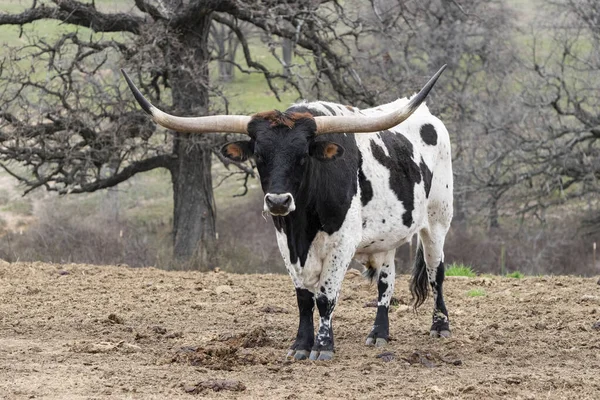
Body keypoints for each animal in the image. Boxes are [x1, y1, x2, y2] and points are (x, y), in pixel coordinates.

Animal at [122, 65, 452, 360]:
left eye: (303, 156)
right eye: (258, 155)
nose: (278, 201)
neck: (302, 225)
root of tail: (430, 118)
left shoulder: (342, 243)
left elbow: (326, 297)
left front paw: (323, 347)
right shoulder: (286, 244)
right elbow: (304, 299)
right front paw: (301, 345)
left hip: (437, 223)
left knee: (435, 272)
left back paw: (440, 326)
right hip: (384, 238)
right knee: (386, 281)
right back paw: (379, 333)